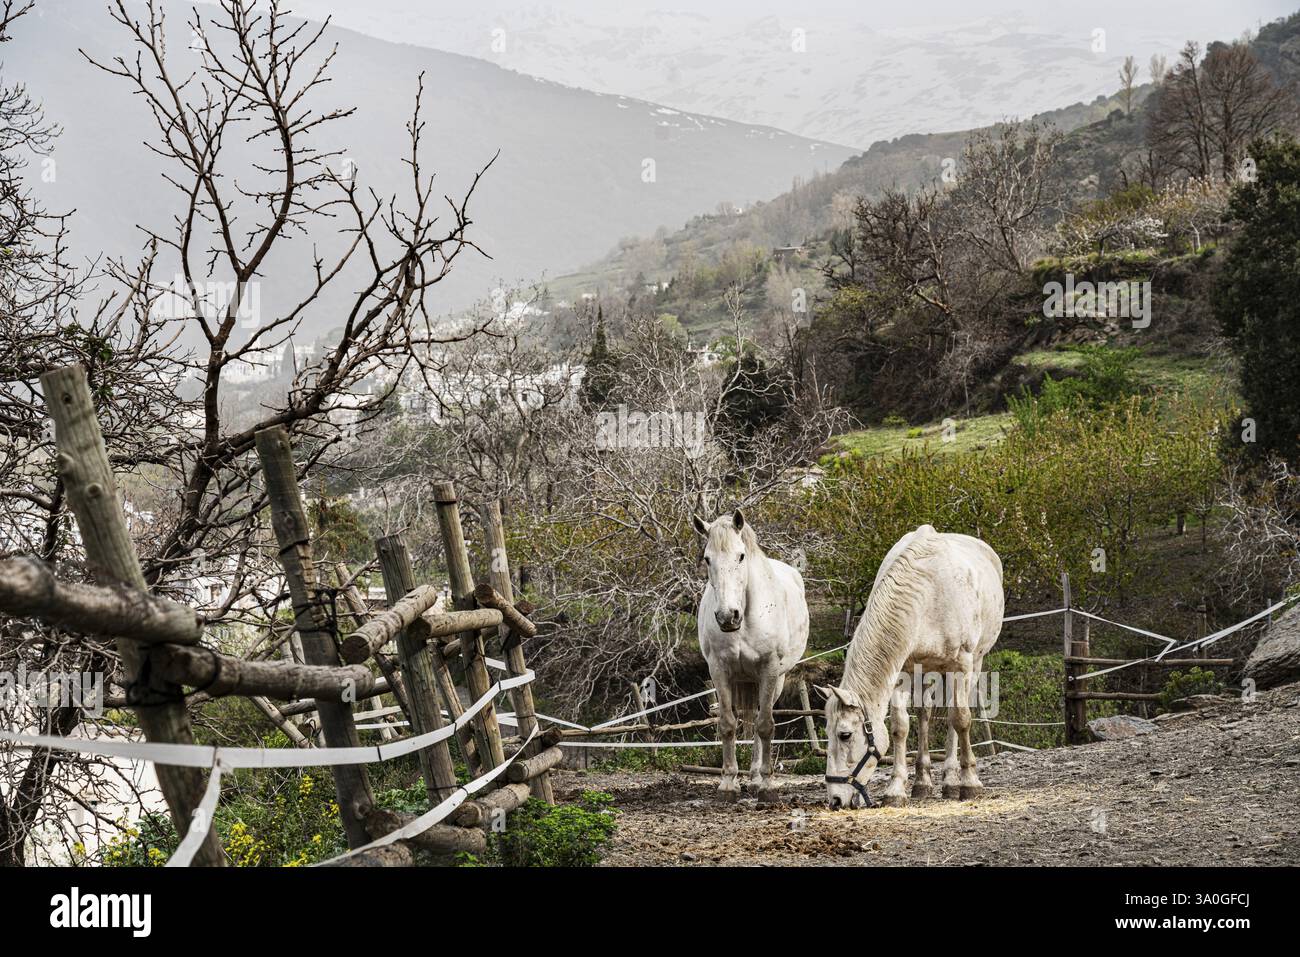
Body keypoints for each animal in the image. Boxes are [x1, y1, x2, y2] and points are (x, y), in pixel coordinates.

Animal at [694, 509, 809, 803]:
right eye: (707, 558)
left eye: (741, 556)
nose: (727, 616)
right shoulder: (719, 671)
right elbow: (727, 724)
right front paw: (728, 784)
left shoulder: (769, 670)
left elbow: (765, 725)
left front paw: (767, 786)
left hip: (775, 681)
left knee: (760, 722)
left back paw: (757, 779)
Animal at [817, 524, 1003, 810]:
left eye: (845, 735)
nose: (836, 800)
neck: (927, 592)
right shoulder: (901, 670)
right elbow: (900, 727)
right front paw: (896, 789)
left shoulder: (961, 664)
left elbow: (960, 719)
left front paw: (970, 783)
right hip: (924, 671)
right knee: (925, 714)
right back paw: (923, 782)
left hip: (973, 663)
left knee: (955, 716)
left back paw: (952, 780)